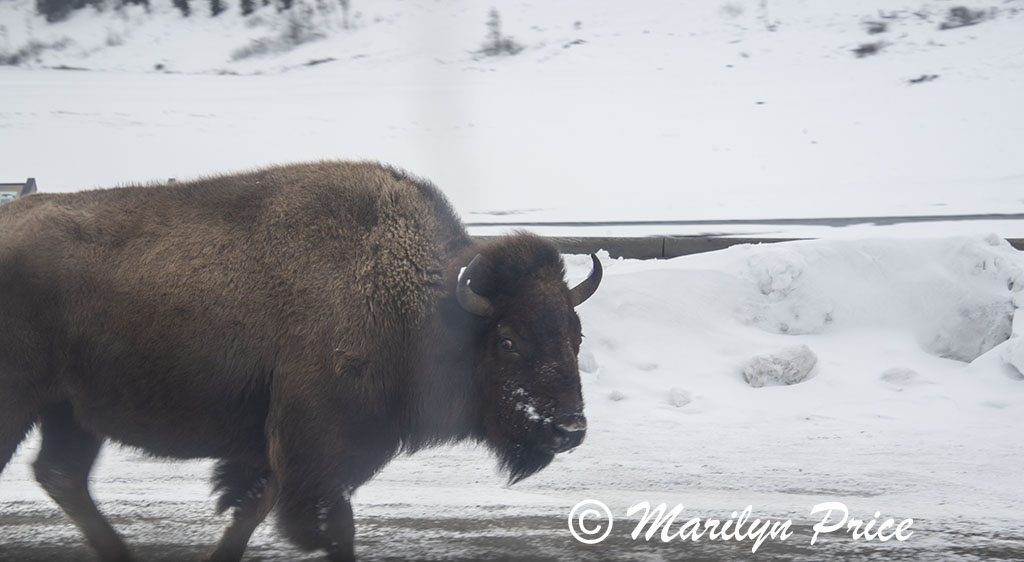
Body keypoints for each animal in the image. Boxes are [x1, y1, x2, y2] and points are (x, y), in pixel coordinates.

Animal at [0, 161, 601, 561]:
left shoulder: (280, 452)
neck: (419, 300)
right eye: (508, 341)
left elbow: (251, 510)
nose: (569, 428)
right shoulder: (315, 449)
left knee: (62, 475)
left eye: (575, 335)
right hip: (23, 403)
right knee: (57, 473)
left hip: (70, 411)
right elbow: (331, 525)